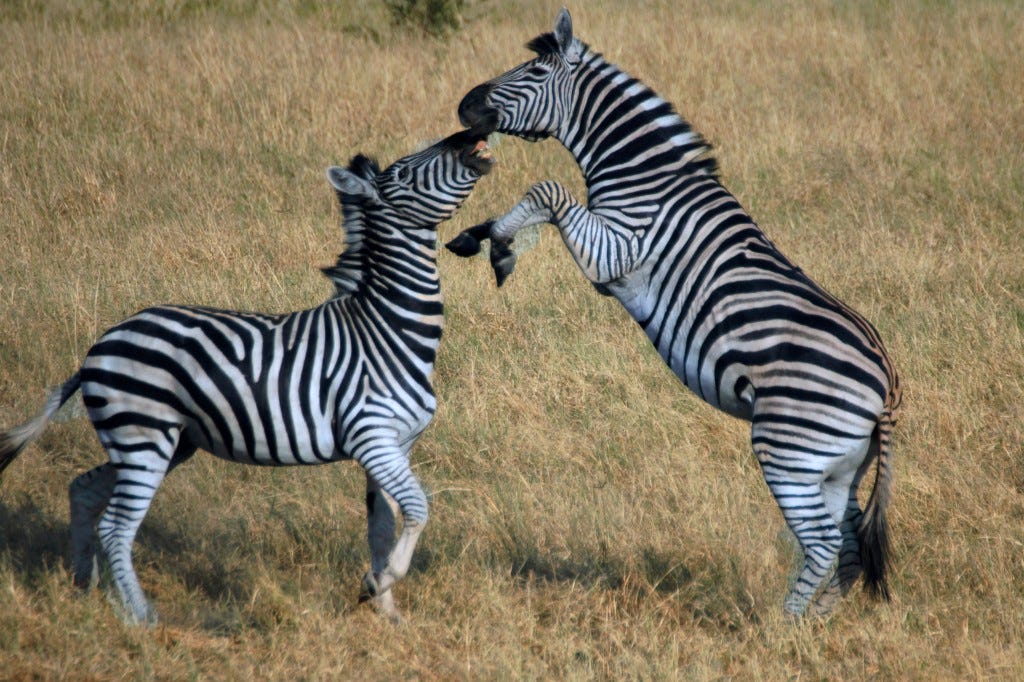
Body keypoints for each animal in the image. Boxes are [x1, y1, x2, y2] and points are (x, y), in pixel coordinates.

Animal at [0, 127, 495, 622]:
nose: (470, 134)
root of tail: (98, 346)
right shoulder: (370, 437)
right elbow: (418, 509)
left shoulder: (397, 444)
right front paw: (382, 583)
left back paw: (84, 588)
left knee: (83, 490)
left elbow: (383, 526)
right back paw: (143, 618)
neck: (388, 329)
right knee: (117, 526)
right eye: (408, 172)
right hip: (144, 437)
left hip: (165, 440)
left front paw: (385, 610)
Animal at [452, 9, 901, 614]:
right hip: (836, 465)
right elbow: (538, 202)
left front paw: (499, 245)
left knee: (824, 543)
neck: (644, 177)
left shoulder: (617, 255)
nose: (463, 107)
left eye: (533, 71)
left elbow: (546, 191)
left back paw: (779, 628)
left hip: (789, 447)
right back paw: (817, 624)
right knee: (849, 545)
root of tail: (888, 386)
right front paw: (482, 237)